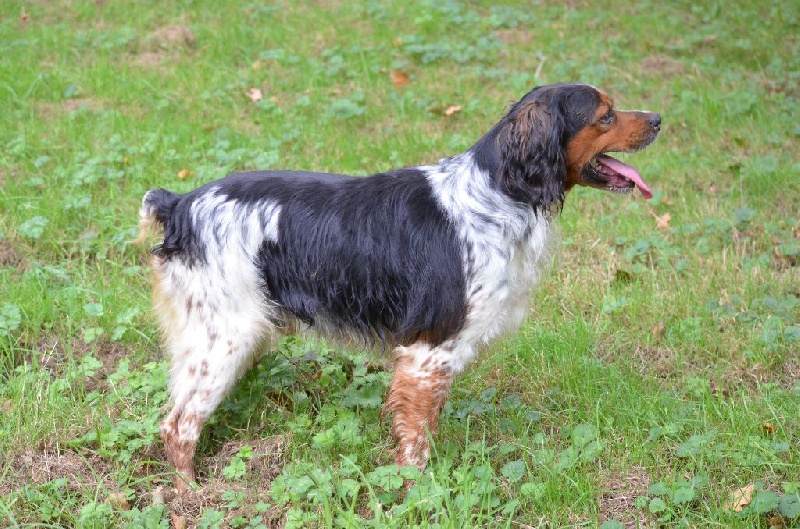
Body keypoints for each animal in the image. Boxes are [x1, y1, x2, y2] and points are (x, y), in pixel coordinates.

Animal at [138, 83, 660, 490]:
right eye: (605, 114)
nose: (658, 118)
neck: (497, 195)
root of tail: (181, 204)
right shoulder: (429, 351)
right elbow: (416, 439)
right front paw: (418, 491)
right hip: (223, 340)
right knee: (177, 425)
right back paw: (190, 495)